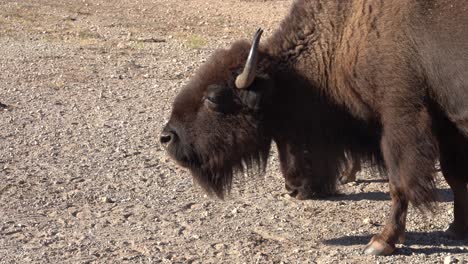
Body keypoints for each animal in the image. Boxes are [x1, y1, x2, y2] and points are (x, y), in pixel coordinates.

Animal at [161, 0, 468, 256]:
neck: (347, 31)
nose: (167, 137)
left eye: (213, 98)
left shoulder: (400, 120)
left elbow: (399, 183)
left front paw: (381, 242)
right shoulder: (448, 126)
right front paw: (456, 230)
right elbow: (454, 177)